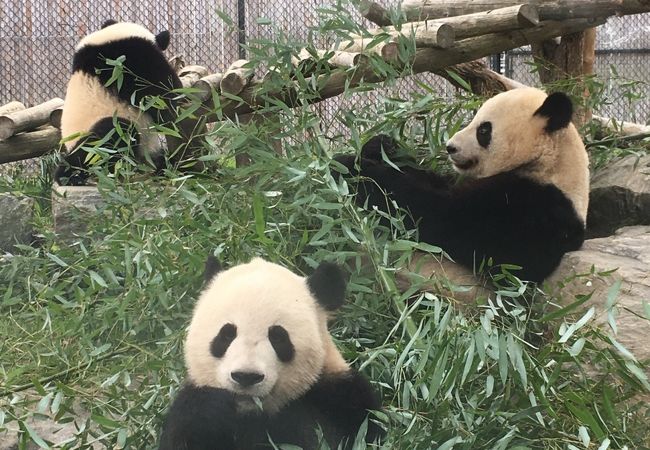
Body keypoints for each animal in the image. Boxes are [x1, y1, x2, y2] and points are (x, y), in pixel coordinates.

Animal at [158, 256, 382, 450]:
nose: (246, 376)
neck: (251, 411)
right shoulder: (189, 406)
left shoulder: (339, 396)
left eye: (278, 337)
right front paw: (214, 408)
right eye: (226, 334)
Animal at [334, 88, 588, 284]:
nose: (450, 147)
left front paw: (349, 167)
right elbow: (434, 181)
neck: (548, 164)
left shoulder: (534, 208)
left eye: (483, 130)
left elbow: (439, 215)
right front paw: (381, 146)